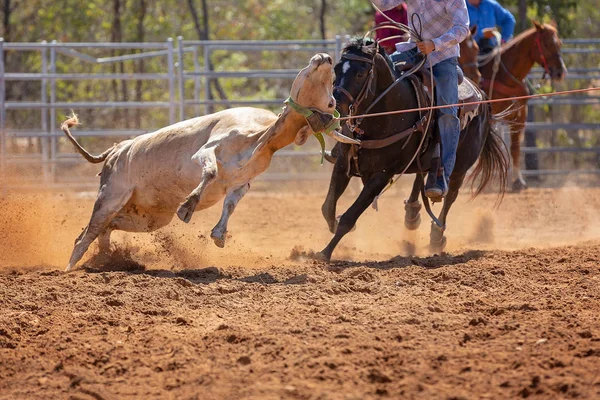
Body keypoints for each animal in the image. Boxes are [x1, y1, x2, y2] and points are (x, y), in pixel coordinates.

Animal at [460, 20, 568, 192]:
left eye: (559, 43)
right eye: (547, 44)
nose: (560, 73)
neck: (506, 77)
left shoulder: (520, 116)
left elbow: (515, 148)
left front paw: (518, 181)